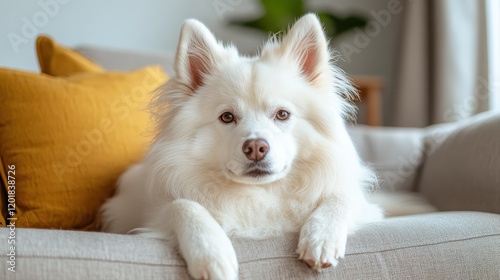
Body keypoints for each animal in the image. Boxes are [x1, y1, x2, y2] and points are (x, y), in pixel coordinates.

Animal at [99, 13, 384, 280]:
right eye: (227, 117)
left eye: (282, 114)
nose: (256, 147)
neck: (258, 194)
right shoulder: (154, 217)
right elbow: (183, 205)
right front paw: (211, 253)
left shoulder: (361, 203)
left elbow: (341, 197)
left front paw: (321, 238)